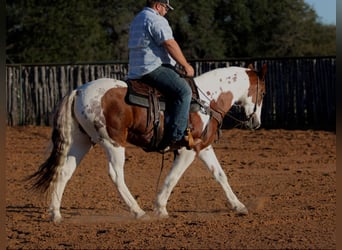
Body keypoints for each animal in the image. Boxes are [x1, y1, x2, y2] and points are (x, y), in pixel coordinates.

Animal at [28, 63, 268, 222]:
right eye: (264, 92)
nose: (256, 122)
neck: (208, 99)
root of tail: (78, 90)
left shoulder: (204, 147)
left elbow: (220, 175)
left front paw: (238, 206)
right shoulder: (188, 150)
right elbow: (173, 177)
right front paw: (160, 208)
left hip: (81, 141)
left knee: (64, 171)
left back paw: (55, 214)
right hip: (113, 142)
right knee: (116, 175)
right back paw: (138, 211)